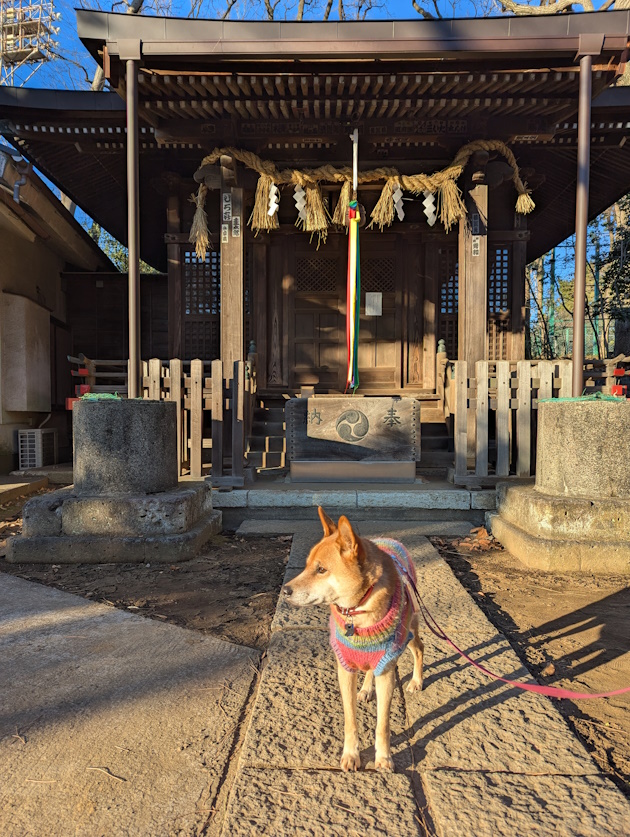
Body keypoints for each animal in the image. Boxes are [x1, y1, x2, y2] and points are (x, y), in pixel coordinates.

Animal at [283, 507, 424, 772]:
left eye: (321, 569)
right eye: (306, 566)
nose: (285, 591)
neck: (358, 611)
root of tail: (392, 540)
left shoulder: (387, 672)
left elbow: (383, 725)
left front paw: (384, 757)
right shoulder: (345, 669)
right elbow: (350, 720)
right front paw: (350, 754)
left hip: (408, 631)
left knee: (419, 648)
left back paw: (416, 681)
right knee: (369, 669)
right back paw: (367, 688)